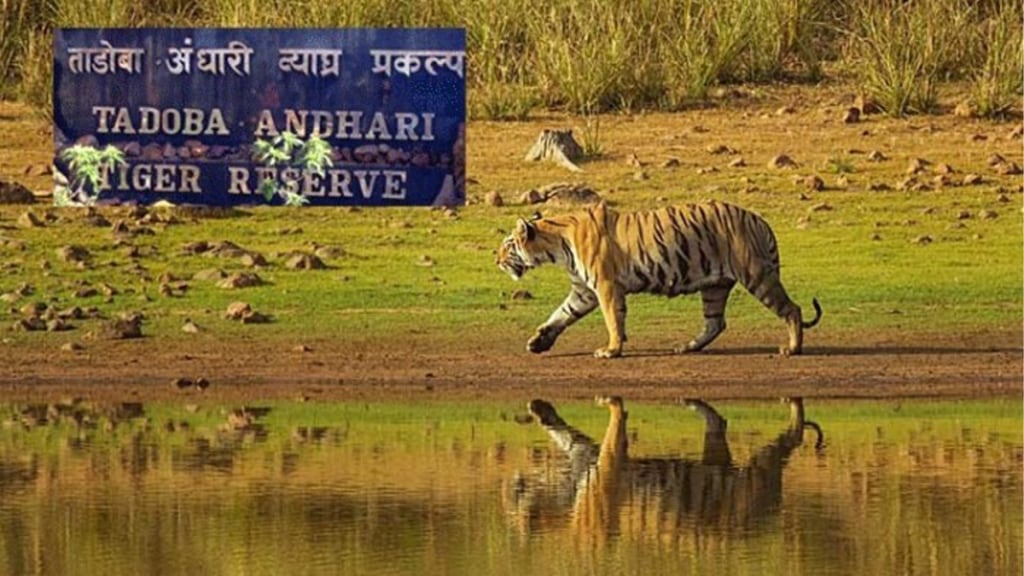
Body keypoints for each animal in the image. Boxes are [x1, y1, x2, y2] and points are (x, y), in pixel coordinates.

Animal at [495, 199, 823, 356]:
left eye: (508, 245)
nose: (496, 260)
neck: (557, 246)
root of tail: (760, 219)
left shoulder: (605, 286)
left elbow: (612, 319)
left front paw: (612, 350)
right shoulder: (583, 291)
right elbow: (561, 314)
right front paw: (539, 341)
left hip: (756, 275)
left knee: (792, 309)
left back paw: (792, 349)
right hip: (715, 286)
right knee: (715, 323)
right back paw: (687, 347)